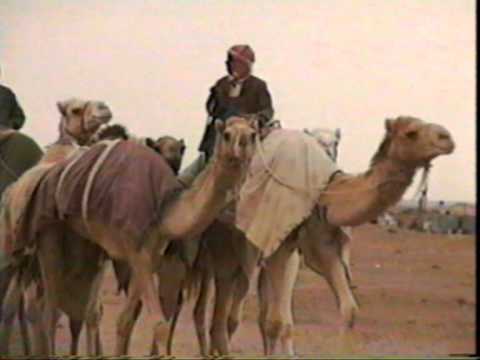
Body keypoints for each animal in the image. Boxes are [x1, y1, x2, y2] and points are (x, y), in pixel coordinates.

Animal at [10, 114, 255, 354]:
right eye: (227, 134)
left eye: (253, 134)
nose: (243, 144)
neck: (163, 208)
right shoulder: (137, 253)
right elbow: (159, 325)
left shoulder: (150, 255)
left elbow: (125, 321)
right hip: (48, 232)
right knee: (49, 311)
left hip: (79, 242)